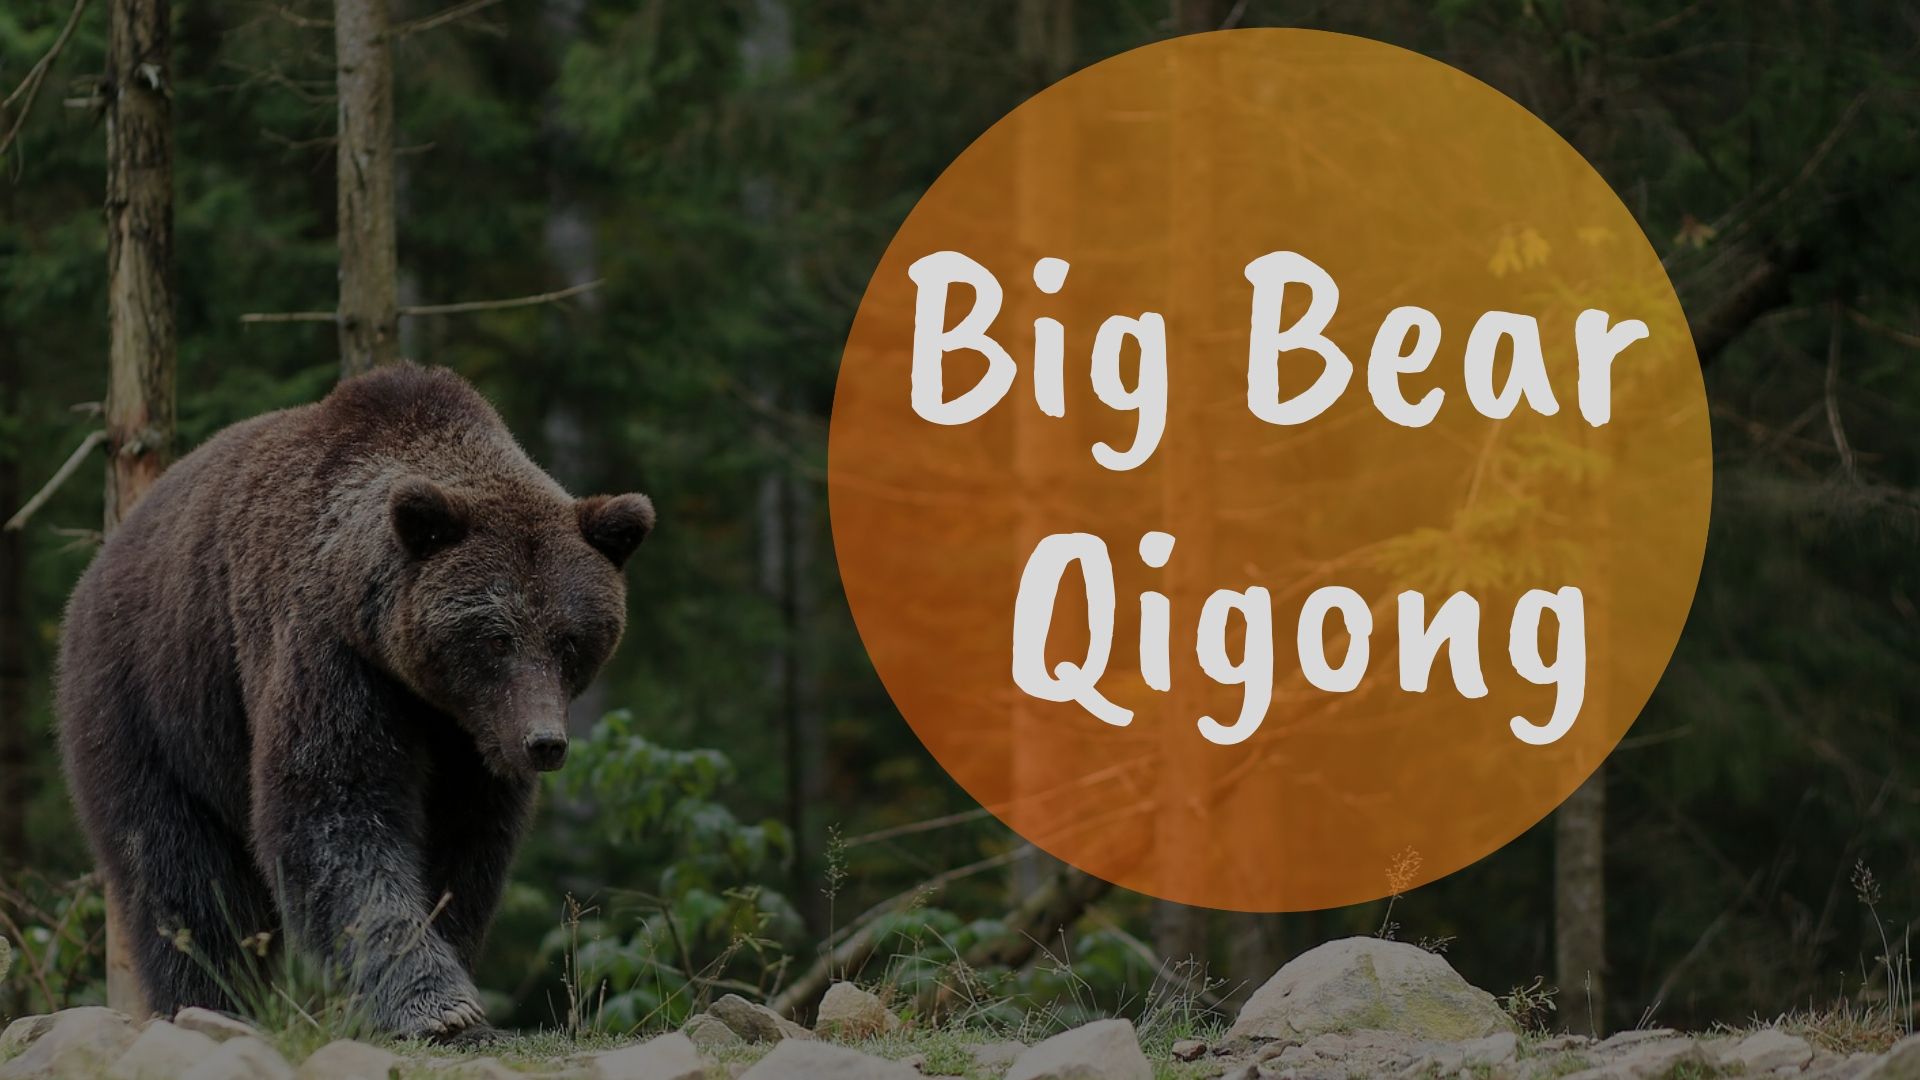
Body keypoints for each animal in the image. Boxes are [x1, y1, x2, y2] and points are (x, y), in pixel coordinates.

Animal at [55, 364, 655, 1038]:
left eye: (570, 639)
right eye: (497, 636)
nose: (543, 742)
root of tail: (102, 561)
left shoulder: (469, 740)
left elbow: (463, 845)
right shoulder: (329, 653)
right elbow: (334, 806)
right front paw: (437, 1004)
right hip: (150, 698)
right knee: (178, 872)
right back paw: (208, 999)